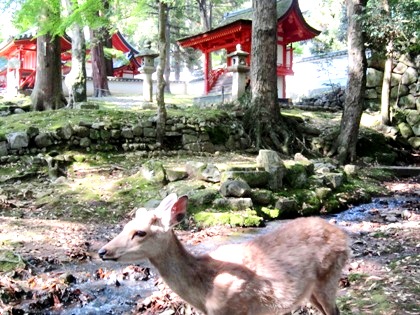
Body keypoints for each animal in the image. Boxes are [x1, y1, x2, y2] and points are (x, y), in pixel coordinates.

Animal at [97, 193, 348, 315]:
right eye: (125, 226)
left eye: (140, 232)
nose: (102, 251)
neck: (204, 295)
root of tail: (345, 239)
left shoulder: (234, 308)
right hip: (311, 291)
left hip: (329, 276)